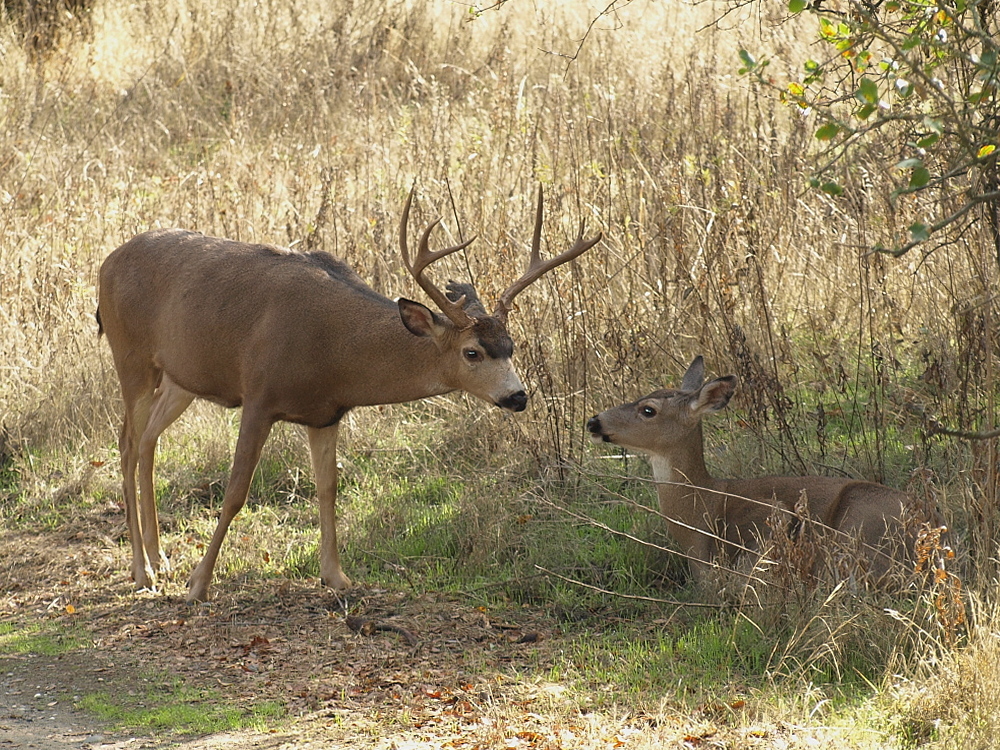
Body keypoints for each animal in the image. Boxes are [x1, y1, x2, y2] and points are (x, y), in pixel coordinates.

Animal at [99, 188, 600, 604]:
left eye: (512, 346)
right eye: (472, 352)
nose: (518, 397)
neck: (334, 351)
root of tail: (106, 263)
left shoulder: (326, 413)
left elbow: (329, 487)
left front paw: (336, 576)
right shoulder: (258, 395)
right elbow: (237, 490)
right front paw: (199, 584)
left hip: (181, 378)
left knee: (148, 442)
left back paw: (159, 557)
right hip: (132, 357)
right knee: (126, 444)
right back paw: (142, 571)